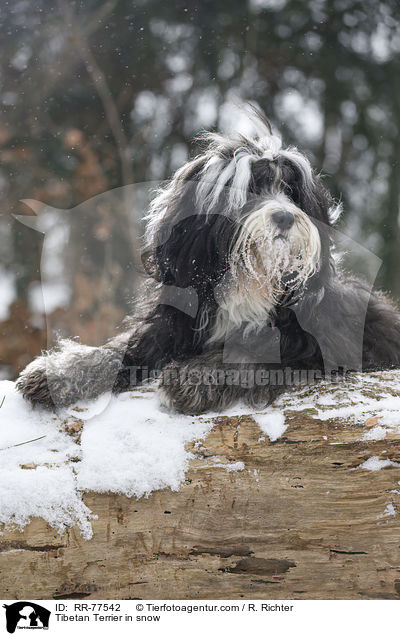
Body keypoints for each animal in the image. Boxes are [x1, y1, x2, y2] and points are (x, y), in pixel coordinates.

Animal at [16, 110, 400, 412]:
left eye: (291, 193)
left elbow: (252, 351)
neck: (246, 281)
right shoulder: (173, 322)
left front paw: (193, 376)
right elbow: (121, 348)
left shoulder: (311, 341)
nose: (285, 218)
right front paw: (60, 372)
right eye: (250, 190)